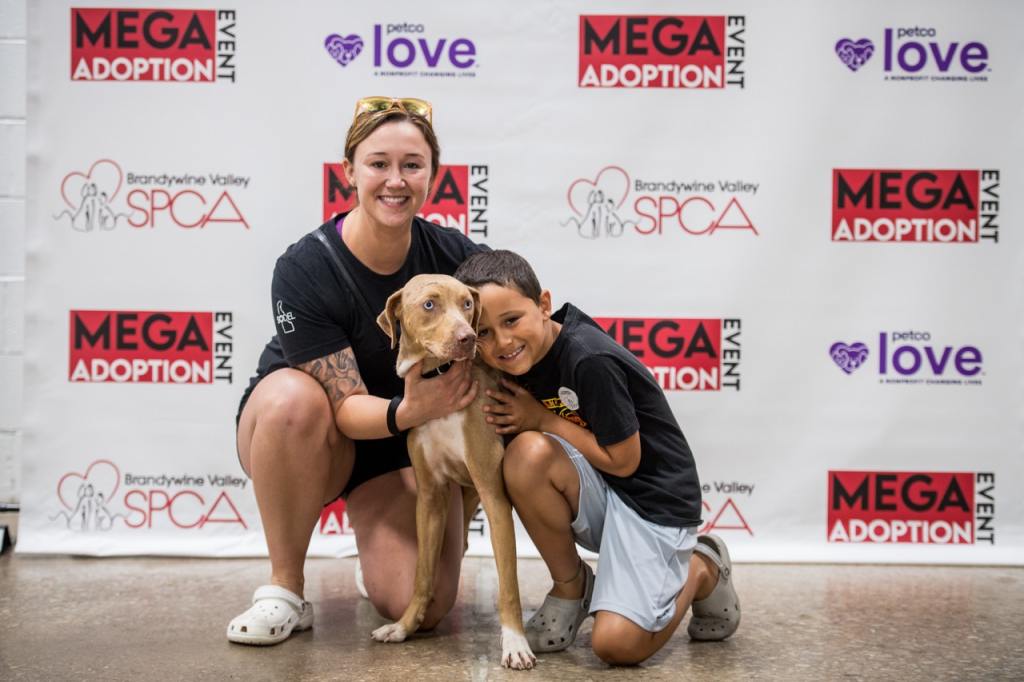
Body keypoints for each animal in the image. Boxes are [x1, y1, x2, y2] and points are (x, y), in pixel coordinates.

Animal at [374, 272, 536, 667]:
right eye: (429, 304)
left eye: (467, 304)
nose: (468, 338)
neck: (437, 377)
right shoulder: (430, 498)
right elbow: (422, 575)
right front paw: (403, 627)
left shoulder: (494, 497)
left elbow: (509, 584)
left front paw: (514, 643)